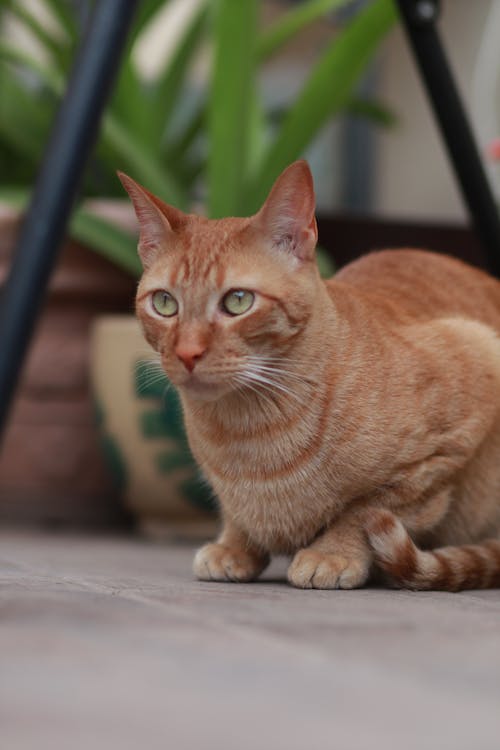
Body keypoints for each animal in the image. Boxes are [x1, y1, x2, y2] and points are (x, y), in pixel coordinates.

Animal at [119, 162, 500, 592]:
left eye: (238, 301)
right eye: (165, 303)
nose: (187, 353)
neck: (245, 436)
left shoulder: (470, 374)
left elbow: (367, 509)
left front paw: (332, 553)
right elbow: (236, 515)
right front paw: (234, 545)